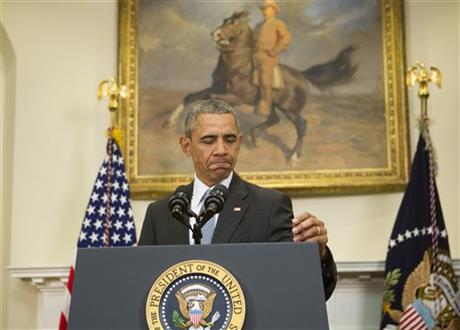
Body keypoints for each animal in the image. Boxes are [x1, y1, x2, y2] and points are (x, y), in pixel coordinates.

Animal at [167, 10, 358, 163]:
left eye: (233, 23)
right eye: (224, 20)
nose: (215, 33)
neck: (238, 66)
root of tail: (302, 75)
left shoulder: (234, 99)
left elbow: (208, 100)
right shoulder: (216, 89)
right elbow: (192, 97)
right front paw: (169, 121)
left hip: (289, 109)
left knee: (301, 126)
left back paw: (293, 156)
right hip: (271, 104)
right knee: (274, 119)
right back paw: (255, 137)